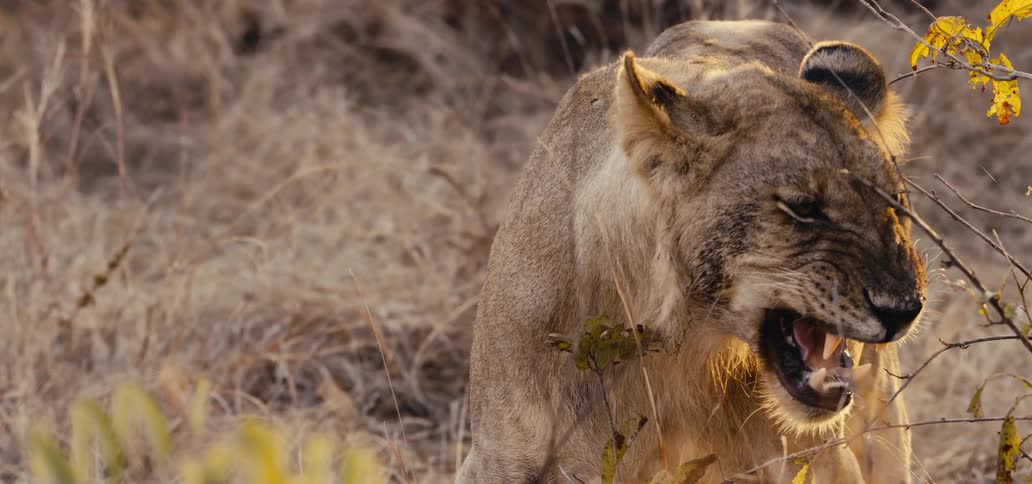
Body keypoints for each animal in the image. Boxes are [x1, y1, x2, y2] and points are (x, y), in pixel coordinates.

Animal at [458, 20, 926, 483]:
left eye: (894, 202)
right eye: (802, 207)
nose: (905, 310)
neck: (676, 344)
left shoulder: (817, 460)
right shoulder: (500, 461)